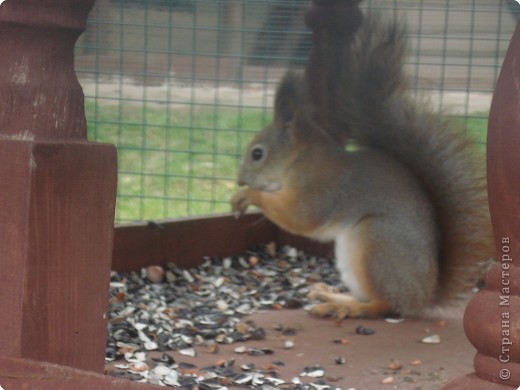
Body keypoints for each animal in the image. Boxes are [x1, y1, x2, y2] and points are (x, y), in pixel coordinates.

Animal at [230, 0, 494, 318]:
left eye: (257, 153)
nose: (239, 179)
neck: (298, 161)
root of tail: (424, 296)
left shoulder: (320, 189)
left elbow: (300, 217)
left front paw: (248, 195)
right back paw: (333, 296)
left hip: (376, 240)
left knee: (385, 304)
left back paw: (350, 308)